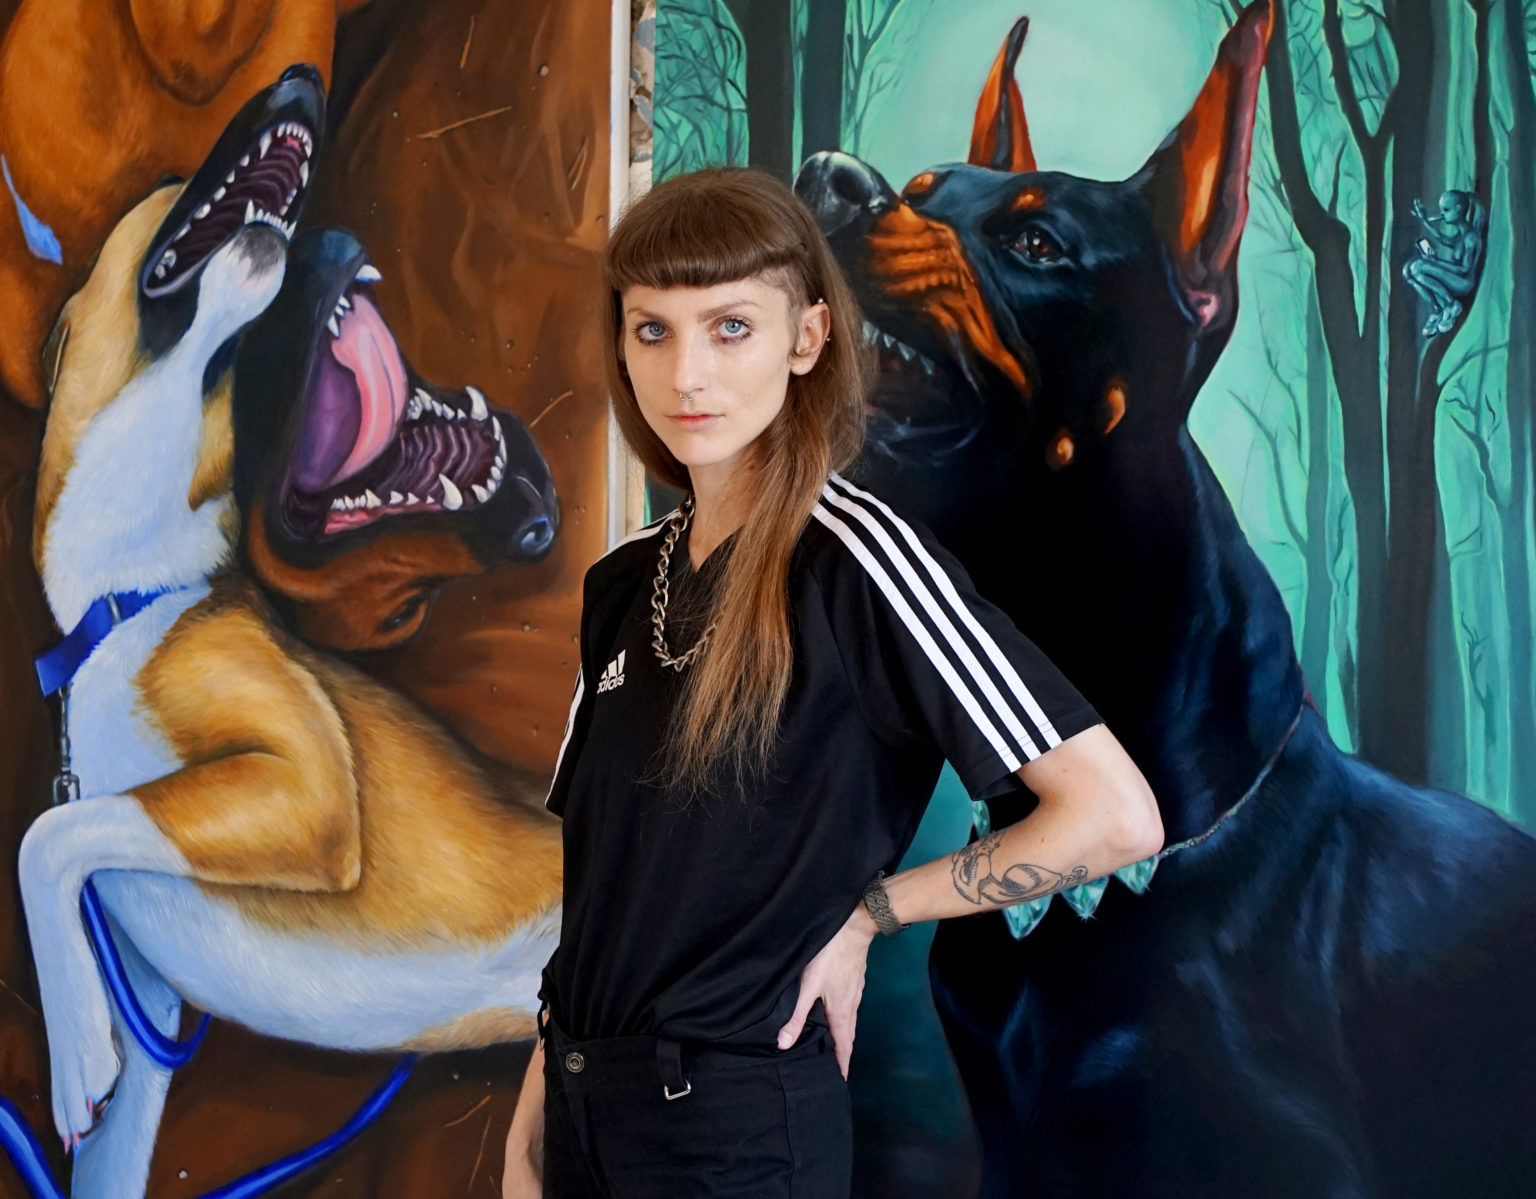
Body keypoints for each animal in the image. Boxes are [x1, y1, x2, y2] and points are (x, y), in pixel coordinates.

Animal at [18, 73, 561, 1199]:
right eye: (173, 179)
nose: (302, 80)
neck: (131, 600)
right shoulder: (150, 1017)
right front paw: (84, 1045)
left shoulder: (306, 790)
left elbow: (45, 833)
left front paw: (72, 1050)